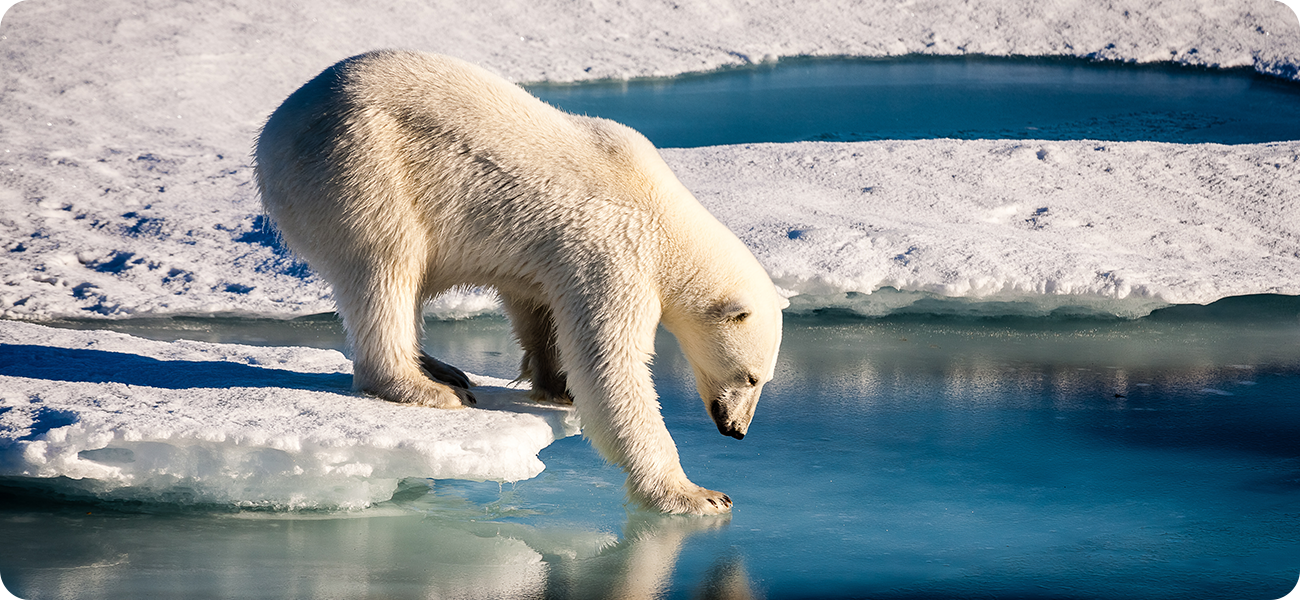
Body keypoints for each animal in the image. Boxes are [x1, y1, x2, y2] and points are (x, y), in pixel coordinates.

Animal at [252, 49, 780, 514]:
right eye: (751, 376)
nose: (737, 430)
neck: (664, 217)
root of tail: (275, 127)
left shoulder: (553, 257)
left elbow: (537, 307)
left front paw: (556, 385)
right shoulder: (615, 253)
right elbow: (611, 367)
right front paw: (697, 495)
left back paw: (442, 368)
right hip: (360, 166)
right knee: (386, 266)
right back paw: (427, 387)